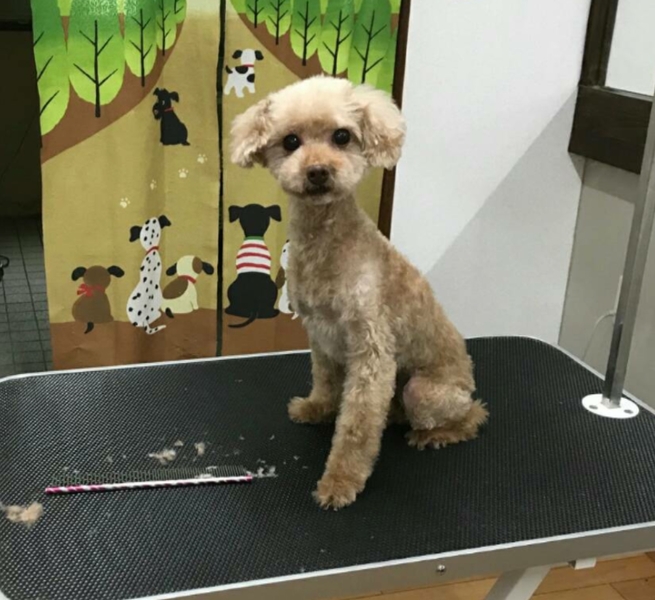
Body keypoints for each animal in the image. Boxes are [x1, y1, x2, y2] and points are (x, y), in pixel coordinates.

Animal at [231, 76, 488, 510]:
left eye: (342, 136)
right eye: (290, 141)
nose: (318, 171)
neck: (327, 243)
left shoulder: (372, 350)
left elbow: (356, 427)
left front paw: (340, 481)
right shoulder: (321, 334)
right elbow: (325, 379)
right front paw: (318, 408)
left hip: (425, 390)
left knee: (471, 416)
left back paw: (435, 433)